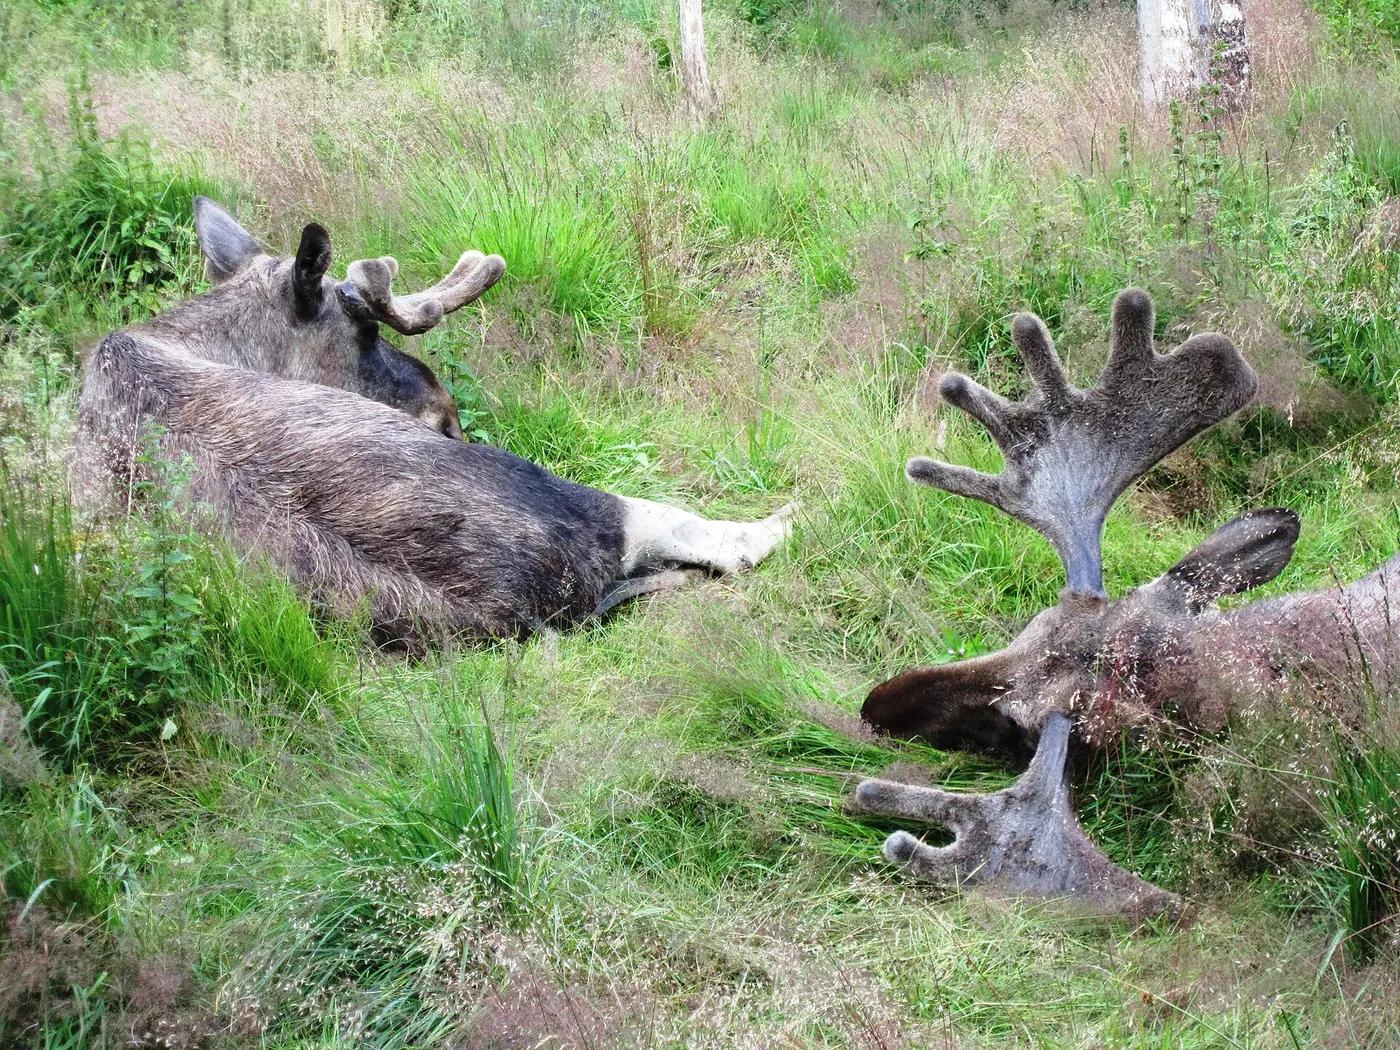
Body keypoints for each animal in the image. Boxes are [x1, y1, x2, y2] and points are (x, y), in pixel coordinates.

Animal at [73, 199, 795, 642]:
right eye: (366, 333)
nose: (445, 413)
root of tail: (514, 602)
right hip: (582, 504)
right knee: (702, 533)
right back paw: (780, 520)